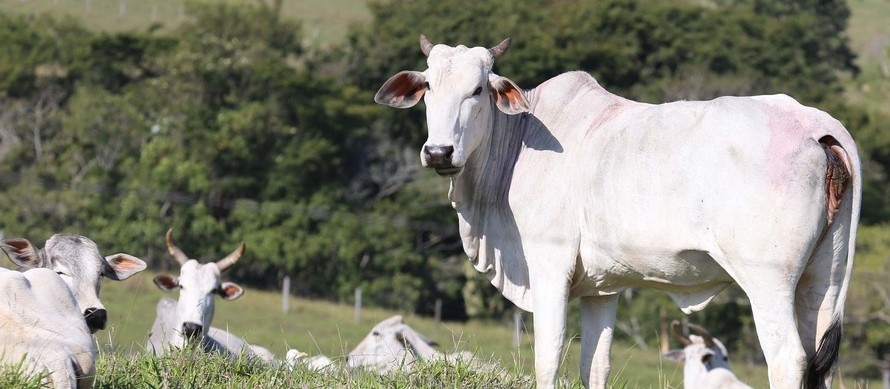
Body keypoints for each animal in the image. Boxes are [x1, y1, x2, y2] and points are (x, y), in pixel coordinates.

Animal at [374, 34, 860, 388]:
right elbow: (595, 365)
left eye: (477, 90)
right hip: (824, 280)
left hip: (768, 280)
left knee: (788, 359)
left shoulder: (549, 265)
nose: (439, 152)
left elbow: (549, 357)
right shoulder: (602, 289)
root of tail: (817, 126)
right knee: (820, 362)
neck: (518, 142)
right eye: (429, 87)